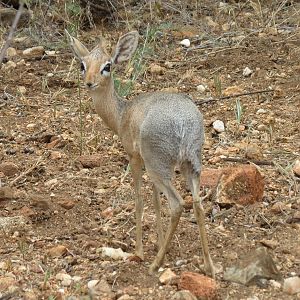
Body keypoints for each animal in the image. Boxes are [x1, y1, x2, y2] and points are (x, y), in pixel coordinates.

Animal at [66, 29, 214, 276]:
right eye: (82, 64)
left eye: (107, 65)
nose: (89, 83)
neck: (122, 115)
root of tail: (183, 123)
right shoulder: (148, 163)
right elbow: (155, 202)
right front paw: (161, 243)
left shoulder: (135, 159)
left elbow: (139, 201)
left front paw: (140, 251)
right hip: (189, 165)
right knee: (197, 204)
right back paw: (209, 266)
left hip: (160, 168)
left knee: (177, 205)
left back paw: (155, 264)